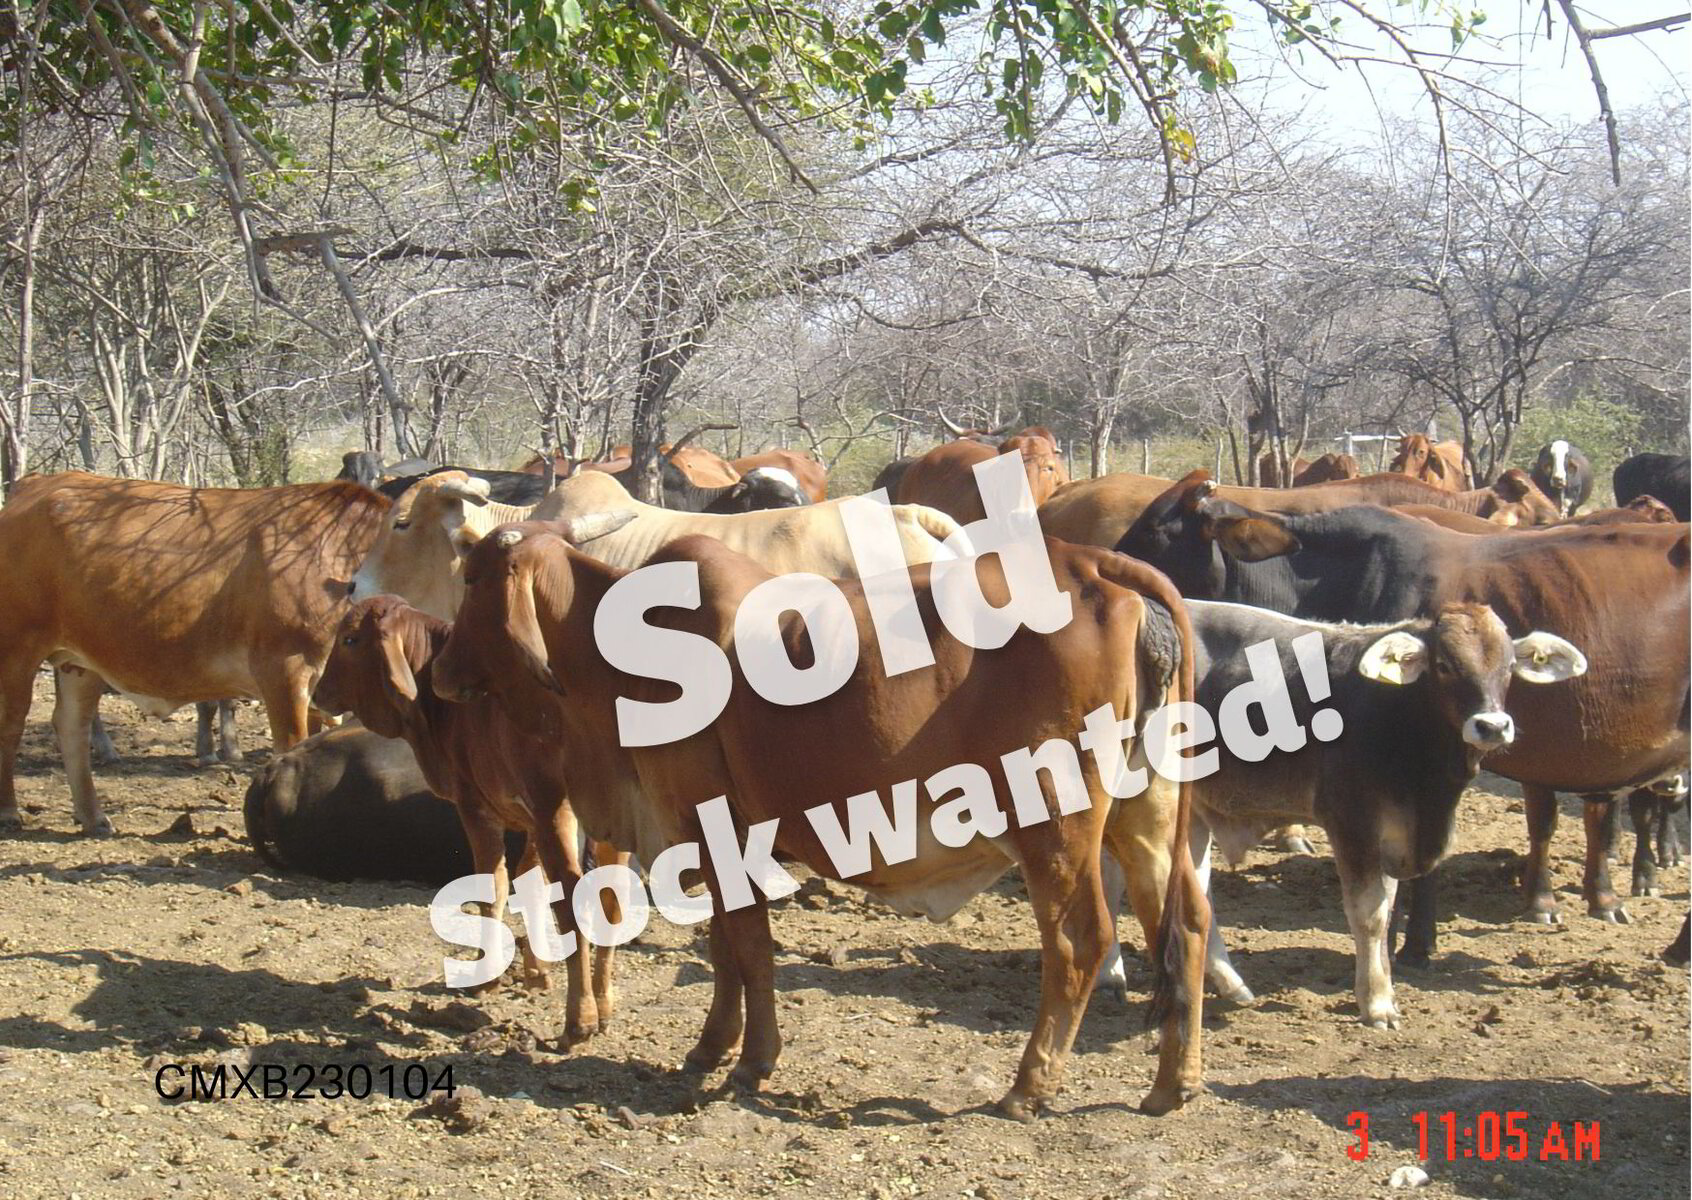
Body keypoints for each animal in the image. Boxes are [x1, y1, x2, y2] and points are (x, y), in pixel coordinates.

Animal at [0, 473, 391, 835]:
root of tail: (38, 482)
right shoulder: (285, 671)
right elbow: (292, 747)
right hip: (17, 646)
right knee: (12, 722)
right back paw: (9, 813)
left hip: (79, 661)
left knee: (72, 725)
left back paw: (93, 817)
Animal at [314, 597, 625, 1035]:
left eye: (350, 639)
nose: (319, 692)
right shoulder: (529, 821)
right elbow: (529, 884)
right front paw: (536, 973)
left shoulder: (477, 807)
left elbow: (492, 887)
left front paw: (487, 977)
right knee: (613, 897)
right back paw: (603, 1001)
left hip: (557, 811)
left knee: (572, 900)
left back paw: (578, 1021)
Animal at [432, 523, 1210, 1118]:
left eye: (471, 581)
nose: (440, 667)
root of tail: (1094, 565)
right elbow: (727, 947)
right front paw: (714, 1047)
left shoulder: (712, 827)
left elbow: (748, 947)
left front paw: (749, 1061)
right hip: (1146, 814)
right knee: (1188, 922)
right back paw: (1174, 1083)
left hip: (1053, 819)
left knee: (1080, 940)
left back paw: (1029, 1086)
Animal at [1098, 599, 1585, 1027]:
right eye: (1445, 665)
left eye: (1508, 666)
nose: (1492, 726)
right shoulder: (1352, 824)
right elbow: (1369, 914)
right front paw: (1377, 1004)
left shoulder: (1391, 835)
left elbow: (1387, 909)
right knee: (1110, 874)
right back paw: (1111, 975)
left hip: (1193, 809)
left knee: (1188, 886)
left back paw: (1224, 981)